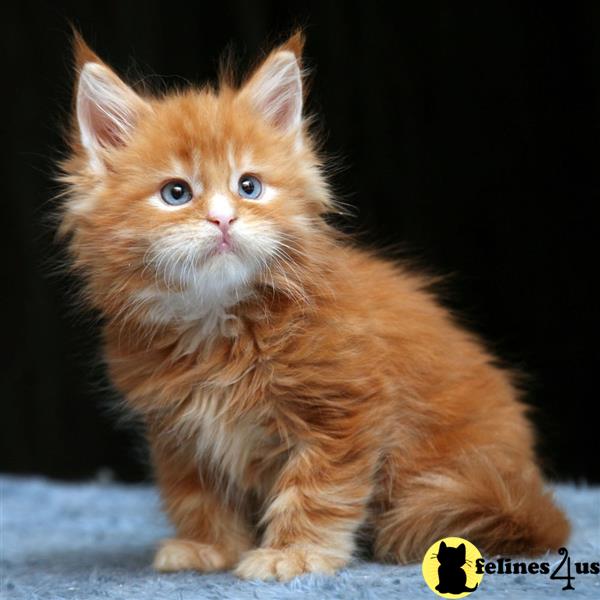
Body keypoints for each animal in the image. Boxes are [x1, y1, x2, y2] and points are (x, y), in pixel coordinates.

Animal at [58, 30, 568, 580]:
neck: (218, 324)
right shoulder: (179, 431)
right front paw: (208, 547)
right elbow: (198, 495)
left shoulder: (346, 410)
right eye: (176, 193)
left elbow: (317, 491)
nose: (223, 220)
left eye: (249, 186)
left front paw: (293, 553)